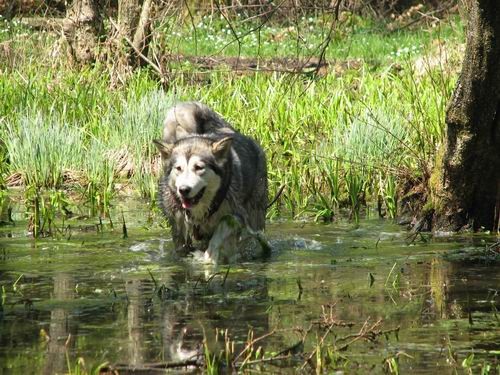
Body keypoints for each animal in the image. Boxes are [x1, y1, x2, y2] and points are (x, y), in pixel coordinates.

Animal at [154, 101, 270, 262]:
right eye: (178, 168)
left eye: (199, 167)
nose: (183, 190)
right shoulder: (178, 224)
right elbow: (181, 248)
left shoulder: (237, 216)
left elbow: (220, 232)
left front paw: (209, 258)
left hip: (255, 214)